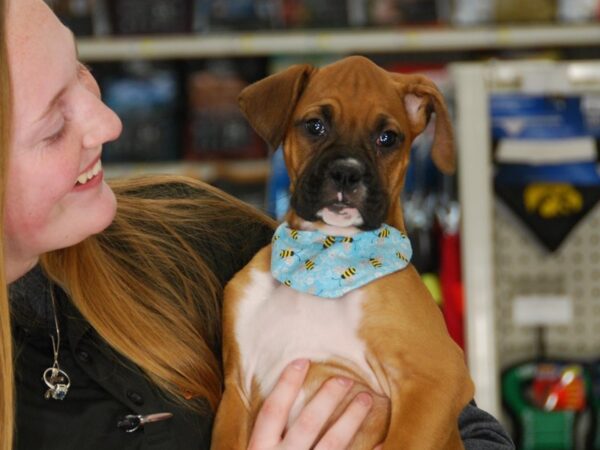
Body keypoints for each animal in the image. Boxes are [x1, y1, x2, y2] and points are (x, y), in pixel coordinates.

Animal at [213, 56, 476, 450]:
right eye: (315, 126)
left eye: (387, 138)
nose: (346, 174)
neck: (323, 257)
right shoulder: (237, 392)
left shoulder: (439, 376)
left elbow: (401, 442)